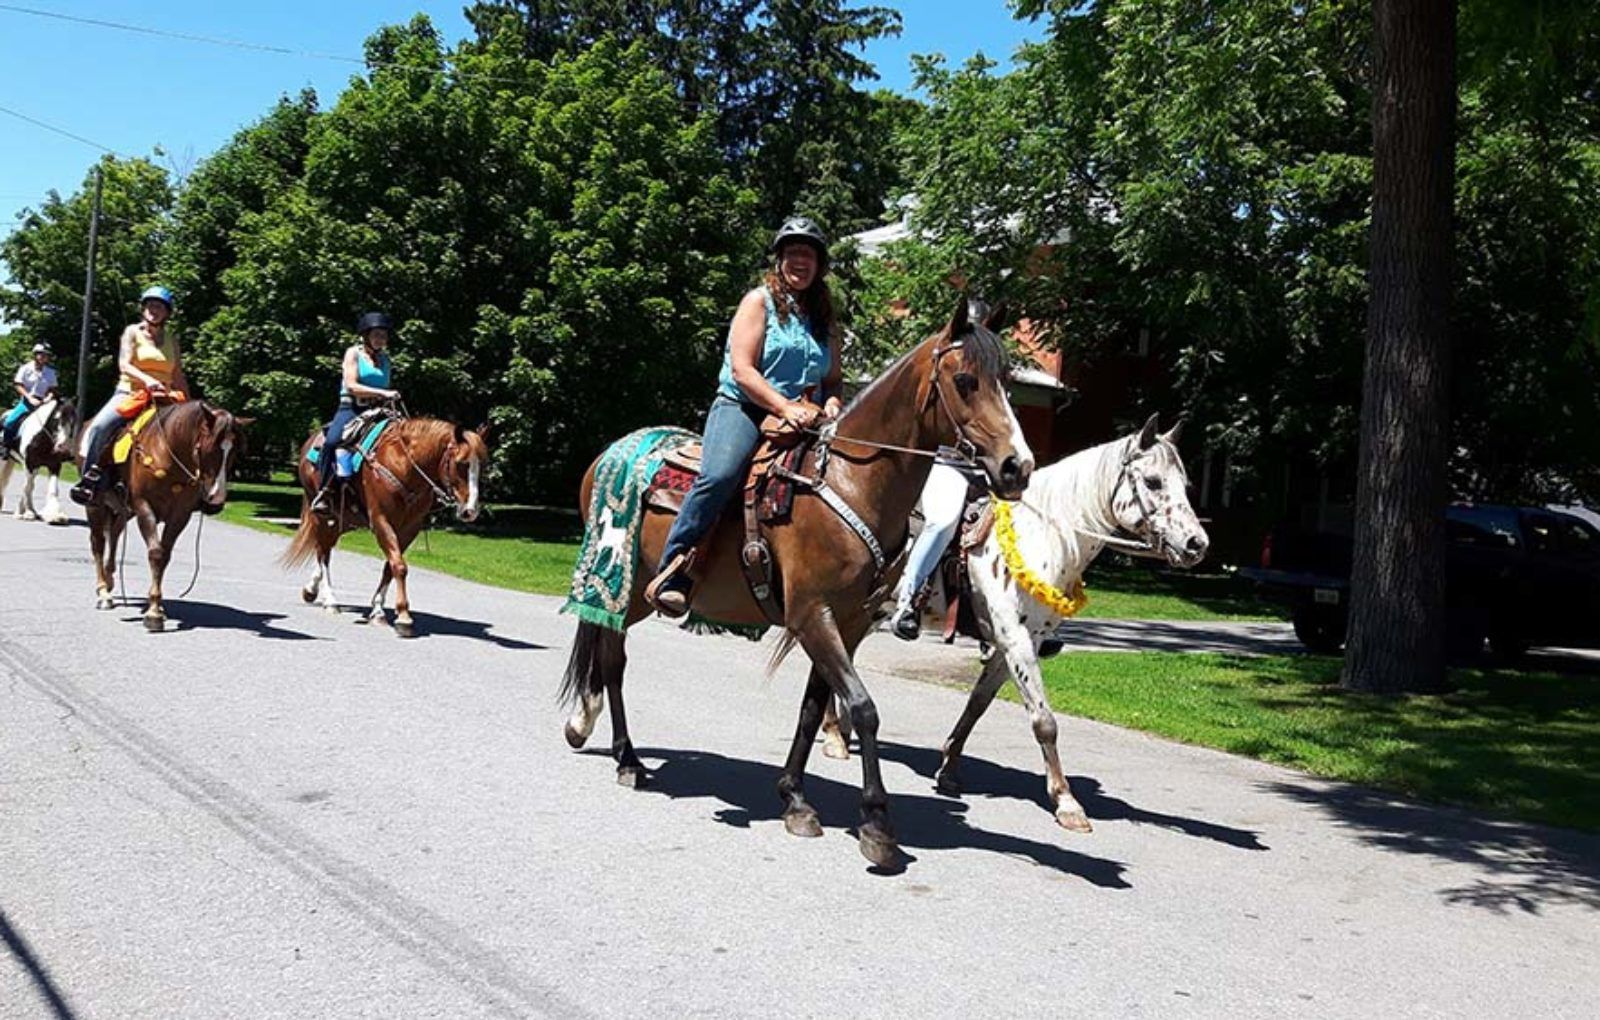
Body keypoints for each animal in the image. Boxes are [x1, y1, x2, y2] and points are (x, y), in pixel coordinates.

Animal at [85, 400, 250, 631]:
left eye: (234, 451)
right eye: (208, 449)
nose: (216, 498)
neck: (168, 453)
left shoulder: (180, 515)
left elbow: (164, 556)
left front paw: (157, 607)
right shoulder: (144, 507)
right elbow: (156, 553)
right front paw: (154, 613)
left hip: (124, 509)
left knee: (115, 534)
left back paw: (109, 581)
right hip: (95, 505)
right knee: (98, 543)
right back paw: (103, 593)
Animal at [282, 415, 489, 638]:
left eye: (483, 465)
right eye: (461, 464)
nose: (470, 510)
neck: (404, 465)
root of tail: (311, 441)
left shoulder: (409, 528)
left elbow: (390, 567)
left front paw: (378, 610)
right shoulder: (381, 521)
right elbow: (399, 566)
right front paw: (404, 617)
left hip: (342, 520)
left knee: (324, 548)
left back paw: (311, 589)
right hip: (322, 514)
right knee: (323, 553)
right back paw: (330, 600)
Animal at [558, 297, 1034, 867]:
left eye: (1008, 382)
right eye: (965, 380)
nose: (1017, 467)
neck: (850, 482)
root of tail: (611, 451)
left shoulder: (845, 622)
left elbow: (813, 708)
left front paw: (795, 799)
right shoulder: (812, 614)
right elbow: (863, 708)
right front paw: (876, 824)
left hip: (634, 594)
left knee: (606, 651)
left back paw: (589, 728)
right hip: (627, 586)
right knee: (612, 660)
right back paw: (626, 758)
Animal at [822, 414, 1208, 833]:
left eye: (1185, 484)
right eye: (1152, 481)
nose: (1196, 544)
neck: (1043, 537)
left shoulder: (1016, 645)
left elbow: (977, 705)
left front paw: (949, 767)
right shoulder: (1016, 641)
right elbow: (1044, 721)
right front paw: (1066, 802)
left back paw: (841, 730)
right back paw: (835, 736)